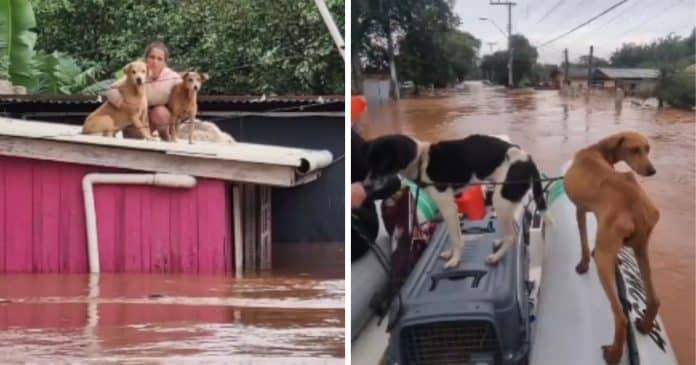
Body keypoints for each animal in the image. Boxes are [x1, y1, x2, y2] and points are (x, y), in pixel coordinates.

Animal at [362, 133, 548, 268]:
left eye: (381, 164)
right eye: (369, 163)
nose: (364, 186)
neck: (421, 161)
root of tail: (527, 159)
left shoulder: (448, 207)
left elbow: (456, 238)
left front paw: (455, 260)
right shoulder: (451, 209)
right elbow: (456, 235)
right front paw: (452, 254)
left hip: (501, 201)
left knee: (512, 235)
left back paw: (496, 257)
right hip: (507, 200)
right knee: (514, 230)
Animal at [564, 132, 656, 364]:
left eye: (647, 149)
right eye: (636, 149)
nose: (652, 170)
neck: (597, 149)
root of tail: (636, 204)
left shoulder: (580, 210)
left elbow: (584, 242)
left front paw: (583, 264)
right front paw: (618, 260)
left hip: (604, 259)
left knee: (621, 316)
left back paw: (614, 353)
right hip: (641, 248)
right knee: (654, 299)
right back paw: (644, 325)